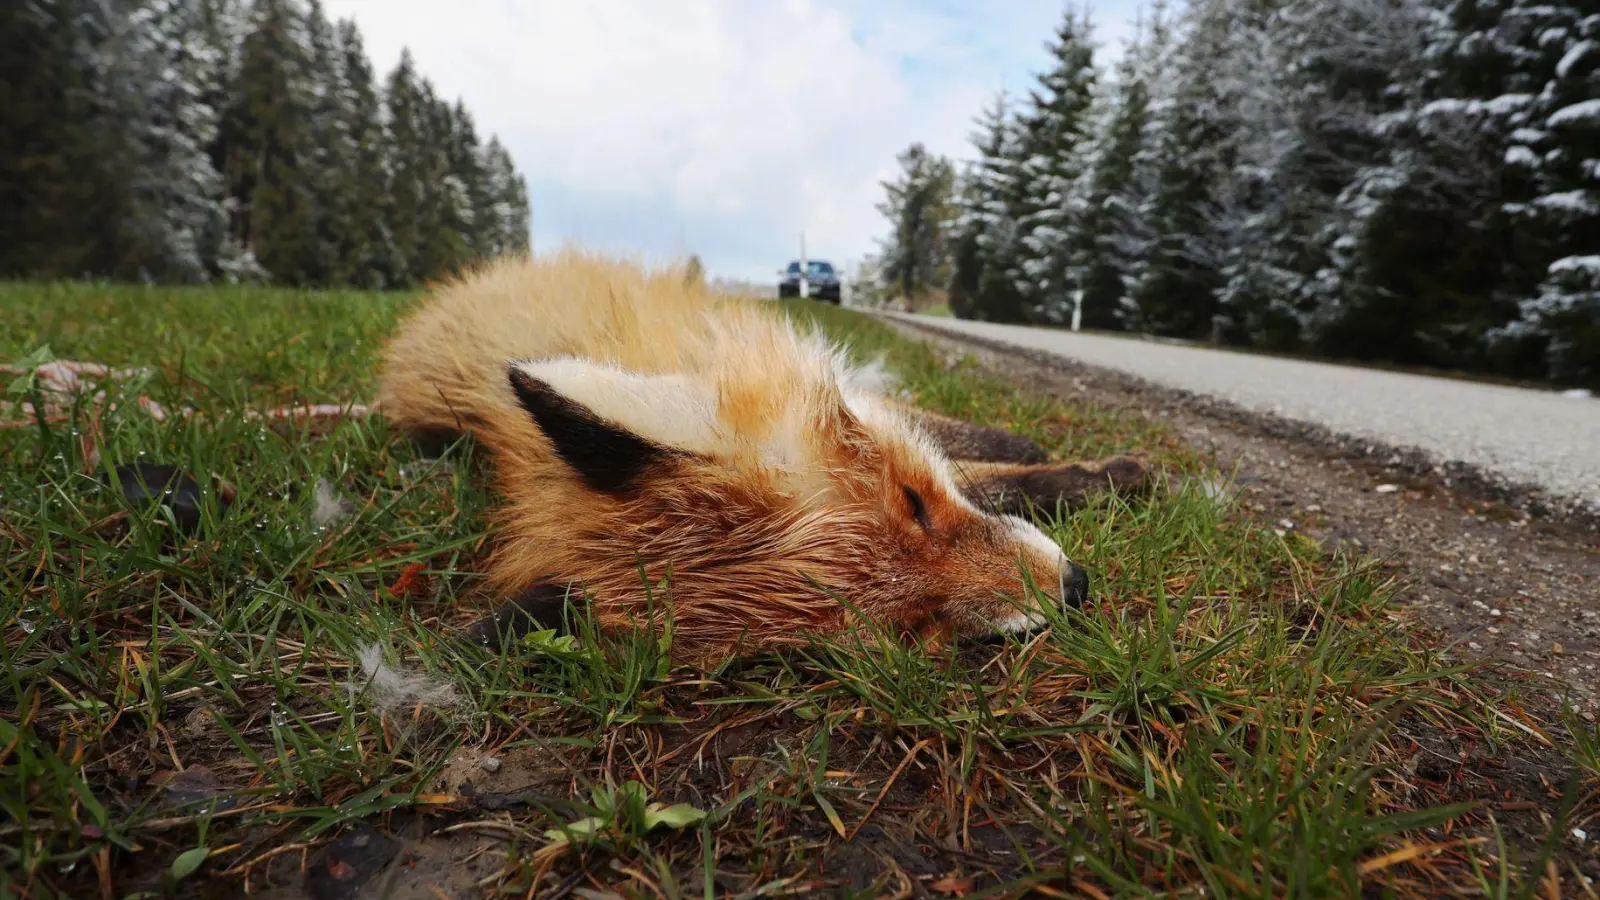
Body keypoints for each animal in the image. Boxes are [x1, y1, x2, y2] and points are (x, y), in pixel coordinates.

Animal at [379, 248, 1145, 656]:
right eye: (914, 624)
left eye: (914, 502)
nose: (1075, 587)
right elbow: (995, 480)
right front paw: (1094, 477)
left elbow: (959, 443)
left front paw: (1043, 452)